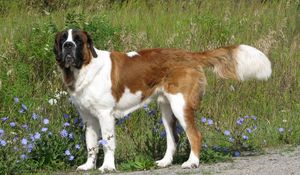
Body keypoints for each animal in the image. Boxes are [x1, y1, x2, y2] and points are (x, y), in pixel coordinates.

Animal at [52, 29, 270, 172]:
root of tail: (190, 54)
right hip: (166, 108)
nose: (68, 46)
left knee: (195, 135)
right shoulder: (88, 118)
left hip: (180, 105)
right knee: (173, 138)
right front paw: (88, 166)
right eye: (63, 39)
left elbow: (107, 142)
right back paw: (165, 162)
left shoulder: (105, 115)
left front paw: (107, 166)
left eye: (78, 40)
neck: (84, 68)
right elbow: (91, 143)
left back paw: (192, 162)